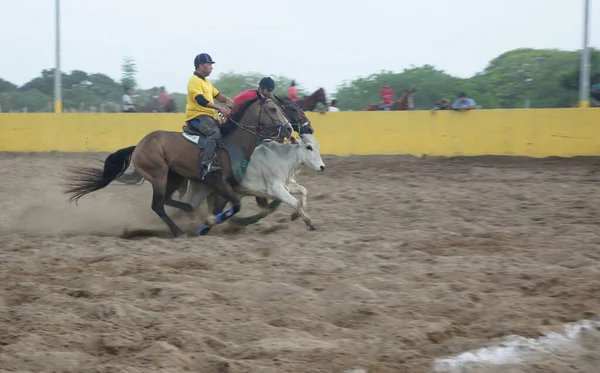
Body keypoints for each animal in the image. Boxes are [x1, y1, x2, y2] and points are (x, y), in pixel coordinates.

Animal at [62, 94, 292, 237]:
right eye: (273, 109)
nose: (289, 129)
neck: (232, 144)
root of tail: (139, 146)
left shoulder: (224, 187)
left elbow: (226, 208)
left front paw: (208, 225)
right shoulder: (217, 181)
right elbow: (235, 206)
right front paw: (208, 225)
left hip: (174, 177)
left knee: (168, 201)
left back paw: (188, 212)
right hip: (159, 174)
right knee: (157, 204)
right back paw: (178, 231)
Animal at [180, 134, 326, 230]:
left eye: (317, 146)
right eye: (308, 147)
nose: (322, 166)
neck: (282, 158)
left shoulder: (287, 186)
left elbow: (304, 191)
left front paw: (296, 215)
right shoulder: (276, 189)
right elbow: (295, 202)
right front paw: (310, 223)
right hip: (199, 192)